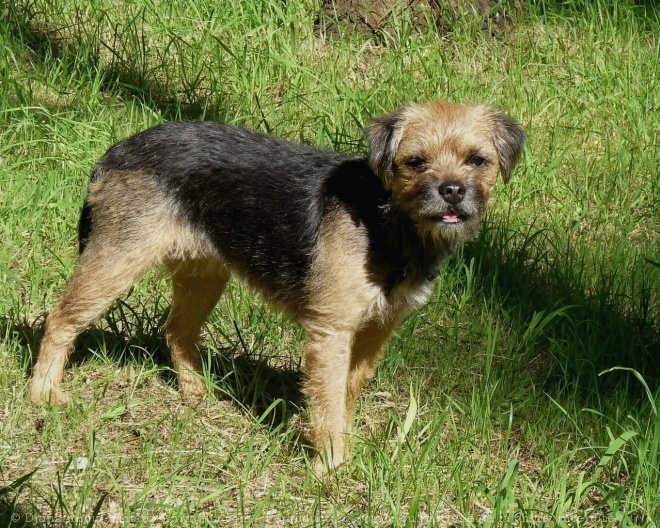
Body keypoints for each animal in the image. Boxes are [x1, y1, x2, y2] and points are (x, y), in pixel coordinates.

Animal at [28, 100, 524, 474]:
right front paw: (329, 467)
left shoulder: (376, 329)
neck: (387, 219)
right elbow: (327, 400)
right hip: (115, 262)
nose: (452, 190)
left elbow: (348, 390)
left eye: (477, 160)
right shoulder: (331, 332)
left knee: (177, 332)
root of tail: (118, 150)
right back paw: (43, 394)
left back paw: (196, 394)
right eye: (416, 162)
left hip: (205, 277)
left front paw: (343, 446)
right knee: (60, 318)